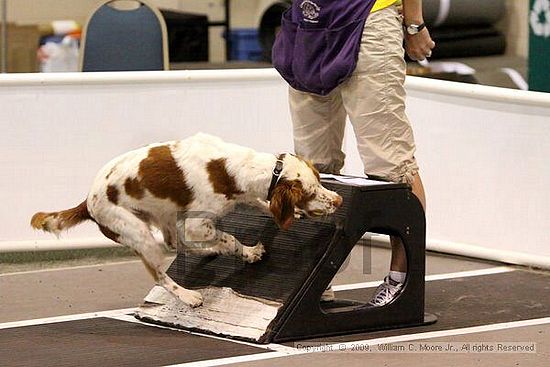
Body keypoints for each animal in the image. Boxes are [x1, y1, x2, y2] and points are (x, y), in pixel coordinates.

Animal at [30, 134, 342, 310]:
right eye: (310, 192)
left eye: (319, 182)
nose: (338, 200)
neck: (230, 168)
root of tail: (88, 201)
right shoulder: (197, 223)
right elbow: (230, 237)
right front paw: (251, 252)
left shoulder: (235, 200)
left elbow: (259, 204)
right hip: (140, 234)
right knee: (160, 272)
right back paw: (189, 296)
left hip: (166, 215)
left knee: (175, 243)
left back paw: (209, 252)